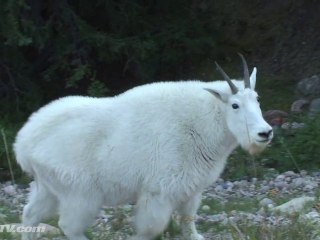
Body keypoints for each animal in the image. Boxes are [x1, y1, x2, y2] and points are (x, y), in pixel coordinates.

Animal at [13, 54, 272, 240]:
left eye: (258, 98)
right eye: (235, 105)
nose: (264, 133)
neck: (200, 124)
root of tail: (23, 144)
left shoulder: (191, 188)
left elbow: (189, 224)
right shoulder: (159, 190)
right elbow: (150, 229)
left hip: (48, 186)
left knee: (31, 214)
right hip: (80, 191)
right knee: (68, 225)